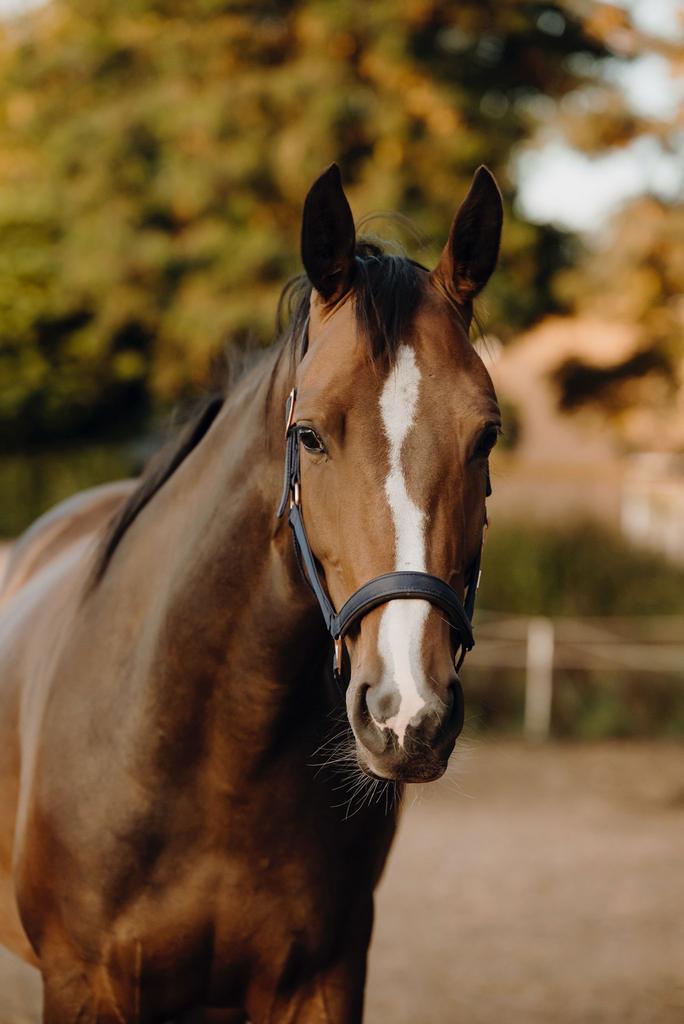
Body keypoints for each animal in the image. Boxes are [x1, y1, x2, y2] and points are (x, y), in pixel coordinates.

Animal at [0, 163, 502, 1022]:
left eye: (487, 435)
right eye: (309, 435)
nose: (407, 713)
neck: (215, 762)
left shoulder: (326, 982)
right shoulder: (80, 985)